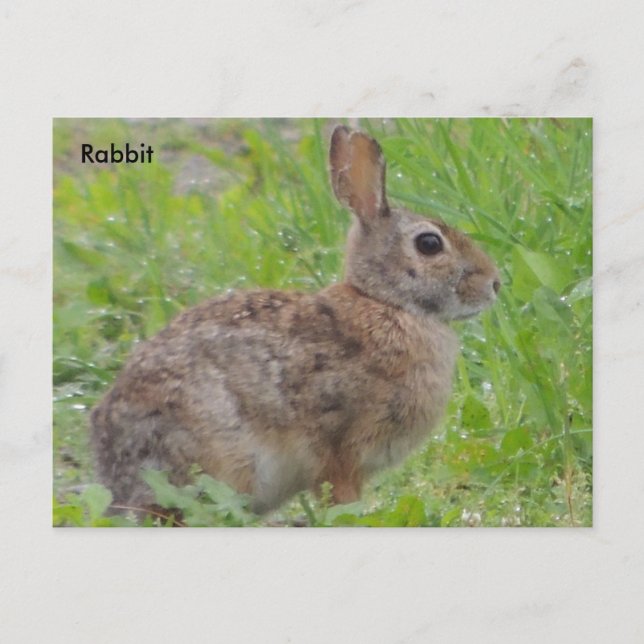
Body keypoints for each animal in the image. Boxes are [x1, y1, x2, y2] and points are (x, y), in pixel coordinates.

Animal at [90, 125, 501, 515]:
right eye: (429, 244)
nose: (494, 283)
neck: (388, 304)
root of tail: (116, 469)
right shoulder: (340, 448)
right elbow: (342, 499)